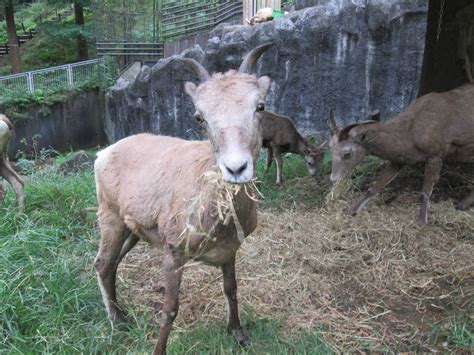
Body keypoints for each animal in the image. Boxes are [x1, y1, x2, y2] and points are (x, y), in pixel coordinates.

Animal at [94, 43, 272, 354]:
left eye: (260, 106)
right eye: (199, 117)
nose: (236, 168)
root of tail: (102, 154)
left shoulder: (230, 250)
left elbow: (231, 288)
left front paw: (238, 333)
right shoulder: (173, 251)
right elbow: (170, 309)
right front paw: (158, 350)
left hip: (133, 229)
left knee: (112, 263)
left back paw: (120, 313)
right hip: (110, 215)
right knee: (102, 263)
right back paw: (117, 320)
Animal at [328, 83, 474, 224]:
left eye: (347, 153)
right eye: (331, 148)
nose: (333, 178)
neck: (409, 133)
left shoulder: (436, 154)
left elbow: (425, 192)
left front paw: (422, 222)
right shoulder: (398, 160)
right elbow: (375, 186)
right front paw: (350, 211)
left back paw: (463, 204)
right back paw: (463, 204)